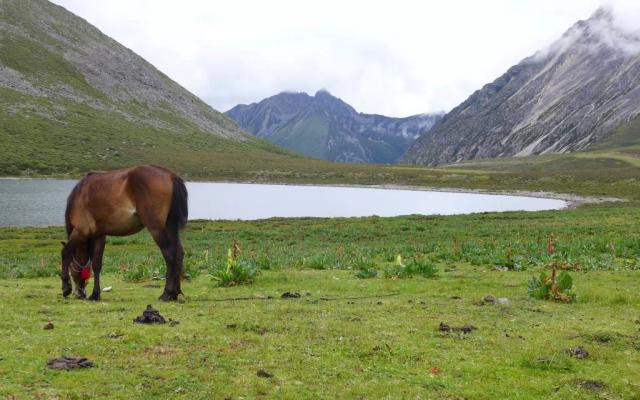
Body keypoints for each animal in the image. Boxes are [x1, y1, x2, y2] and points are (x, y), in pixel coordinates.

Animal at [61, 165, 188, 300]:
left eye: (71, 270)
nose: (80, 294)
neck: (81, 194)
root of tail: (170, 175)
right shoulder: (99, 235)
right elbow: (96, 264)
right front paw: (95, 294)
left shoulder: (80, 231)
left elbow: (65, 253)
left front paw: (66, 288)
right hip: (171, 228)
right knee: (178, 254)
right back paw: (175, 292)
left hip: (157, 229)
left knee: (169, 255)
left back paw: (167, 293)